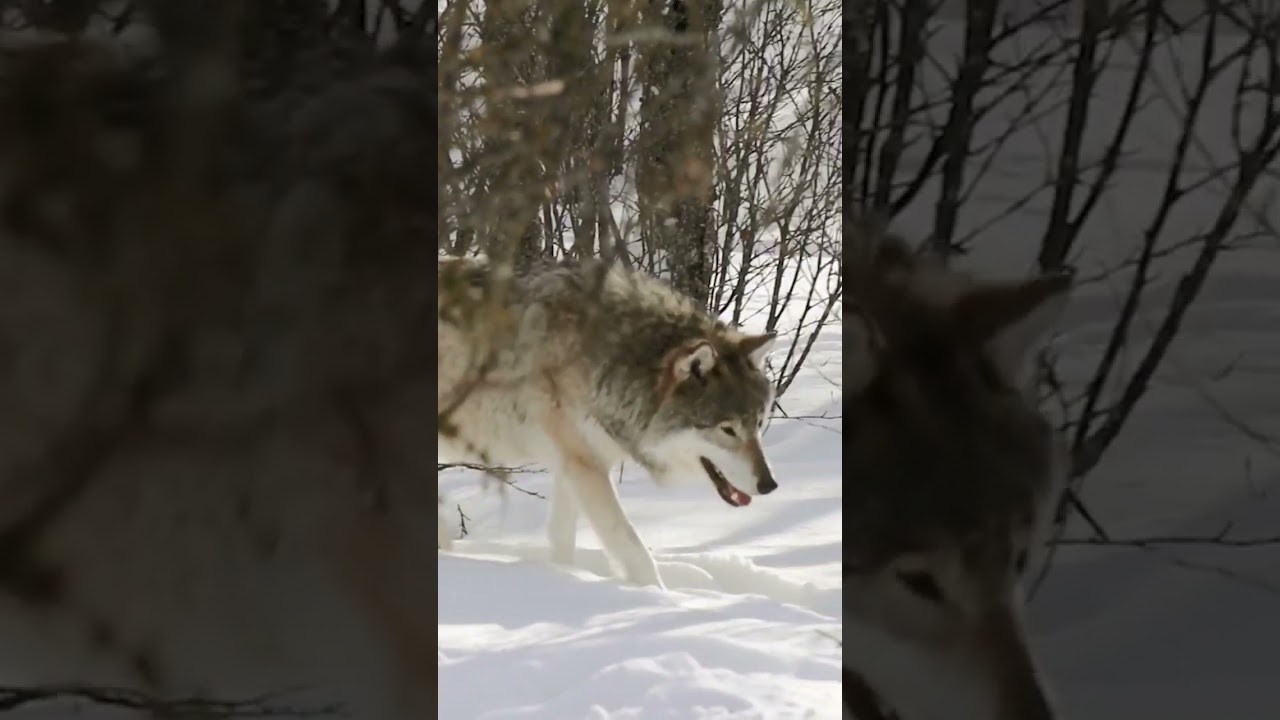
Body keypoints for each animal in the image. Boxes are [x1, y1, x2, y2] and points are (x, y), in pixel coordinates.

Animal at [438, 254, 779, 588]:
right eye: (728, 429)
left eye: (759, 423)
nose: (770, 485)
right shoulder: (584, 463)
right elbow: (630, 545)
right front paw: (658, 596)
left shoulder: (573, 463)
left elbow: (561, 539)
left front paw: (564, 576)